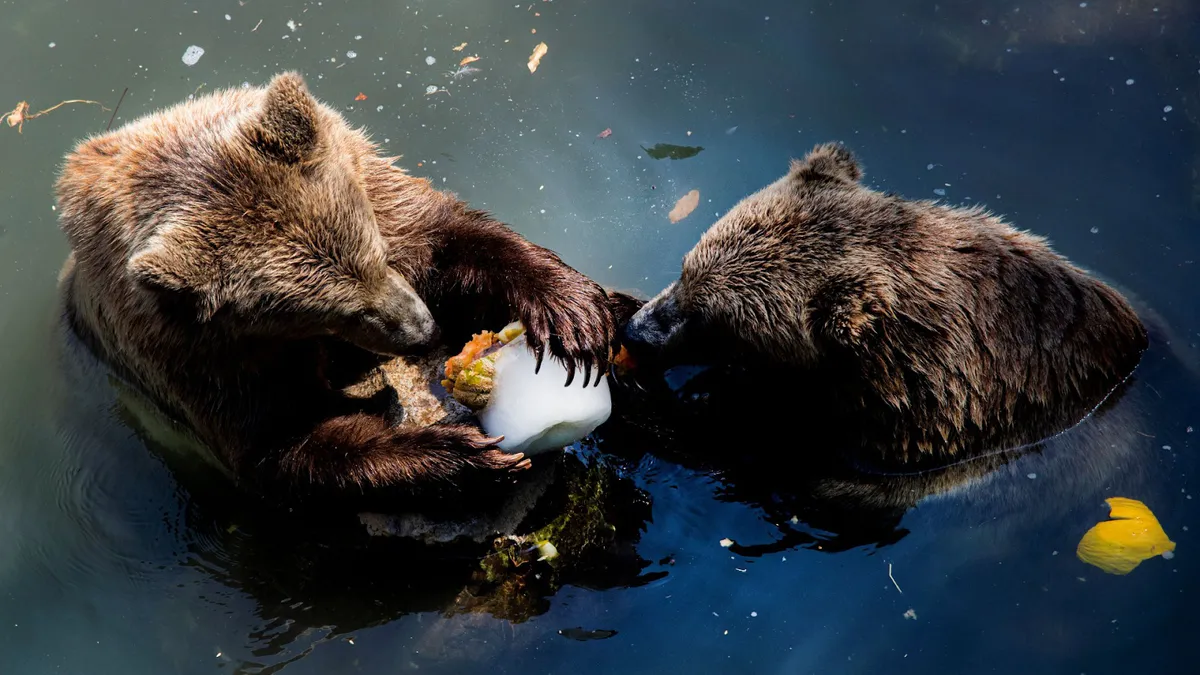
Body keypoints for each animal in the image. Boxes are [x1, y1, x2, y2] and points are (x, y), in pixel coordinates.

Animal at [54, 72, 619, 504]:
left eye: (375, 255)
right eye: (327, 310)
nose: (423, 329)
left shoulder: (379, 192)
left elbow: (456, 238)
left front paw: (572, 315)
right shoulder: (200, 362)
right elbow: (289, 446)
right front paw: (464, 452)